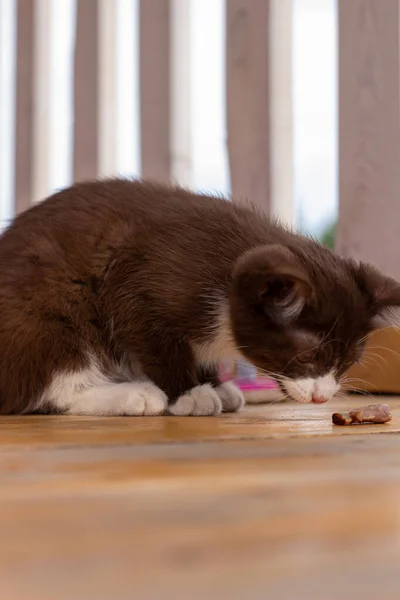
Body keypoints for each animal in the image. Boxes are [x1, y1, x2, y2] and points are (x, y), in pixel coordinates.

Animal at [0, 176, 396, 414]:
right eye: (309, 356)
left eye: (349, 361)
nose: (322, 395)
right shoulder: (137, 281)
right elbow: (151, 339)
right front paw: (189, 392)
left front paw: (216, 384)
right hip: (44, 306)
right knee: (45, 383)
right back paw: (134, 394)